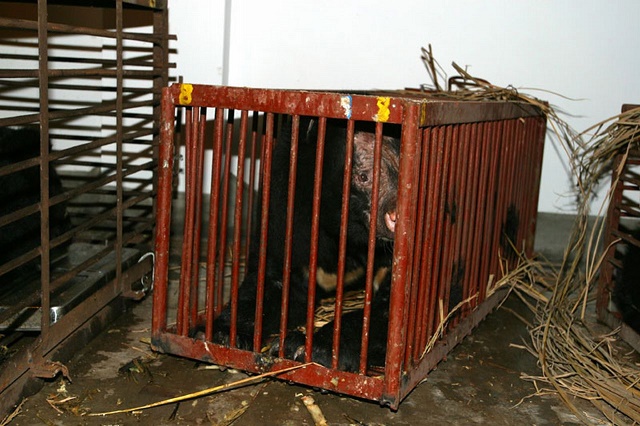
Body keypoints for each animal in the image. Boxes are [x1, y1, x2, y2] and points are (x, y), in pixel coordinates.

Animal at [215, 115, 400, 372]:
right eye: (363, 176)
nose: (395, 217)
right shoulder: (289, 210)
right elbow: (275, 281)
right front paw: (224, 333)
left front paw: (303, 346)